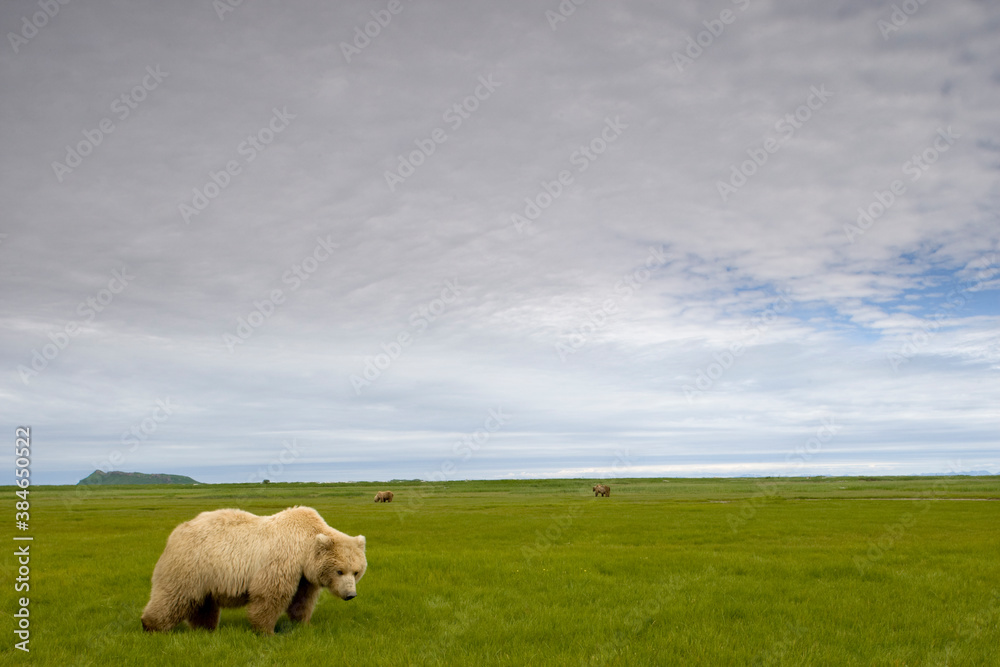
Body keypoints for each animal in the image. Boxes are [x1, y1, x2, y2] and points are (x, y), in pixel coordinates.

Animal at [140, 506, 366, 635]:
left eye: (356, 572)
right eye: (339, 571)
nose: (350, 594)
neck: (304, 547)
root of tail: (177, 532)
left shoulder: (304, 576)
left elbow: (302, 600)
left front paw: (303, 624)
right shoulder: (283, 559)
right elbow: (270, 595)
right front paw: (266, 630)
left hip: (206, 577)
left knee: (203, 603)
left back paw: (205, 628)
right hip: (191, 565)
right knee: (174, 596)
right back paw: (151, 625)